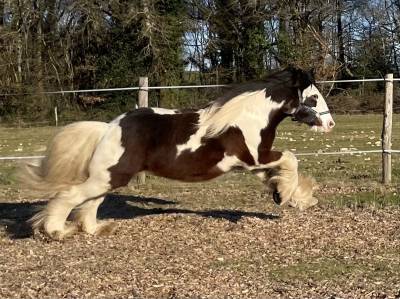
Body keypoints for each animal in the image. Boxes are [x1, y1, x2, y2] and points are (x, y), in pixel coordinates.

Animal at [21, 67, 334, 240]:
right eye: (313, 97)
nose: (330, 124)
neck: (248, 117)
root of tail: (109, 128)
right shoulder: (255, 157)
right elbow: (291, 158)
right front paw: (288, 195)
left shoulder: (254, 163)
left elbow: (279, 173)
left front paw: (293, 197)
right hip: (110, 176)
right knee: (70, 196)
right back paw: (56, 231)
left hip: (109, 177)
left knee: (90, 202)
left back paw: (95, 229)